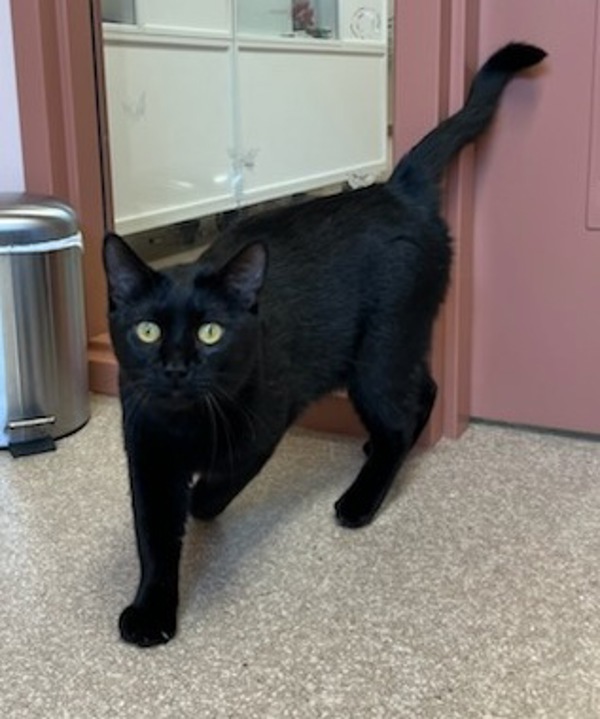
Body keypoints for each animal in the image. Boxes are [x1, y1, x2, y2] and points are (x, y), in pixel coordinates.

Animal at [104, 42, 548, 648]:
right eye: (146, 331)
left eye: (210, 332)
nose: (175, 367)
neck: (187, 424)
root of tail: (396, 189)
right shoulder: (146, 453)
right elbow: (152, 538)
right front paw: (151, 608)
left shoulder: (265, 424)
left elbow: (220, 481)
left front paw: (199, 504)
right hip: (392, 346)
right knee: (423, 390)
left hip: (376, 353)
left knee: (401, 414)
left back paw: (362, 498)